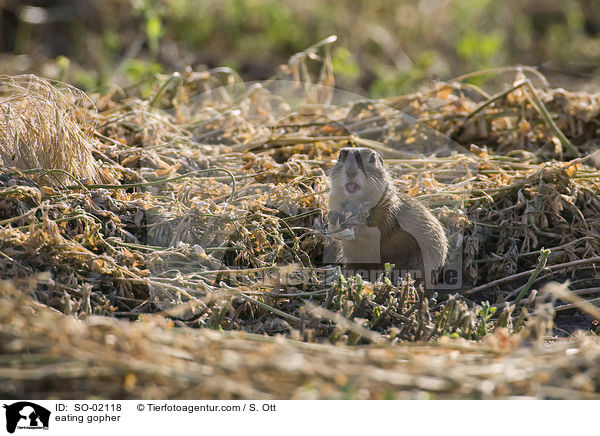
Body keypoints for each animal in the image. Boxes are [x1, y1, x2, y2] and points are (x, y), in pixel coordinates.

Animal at [326, 147, 448, 290]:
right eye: (340, 155)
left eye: (373, 158)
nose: (351, 171)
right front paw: (333, 219)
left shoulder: (386, 212)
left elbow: (374, 229)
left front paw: (352, 223)